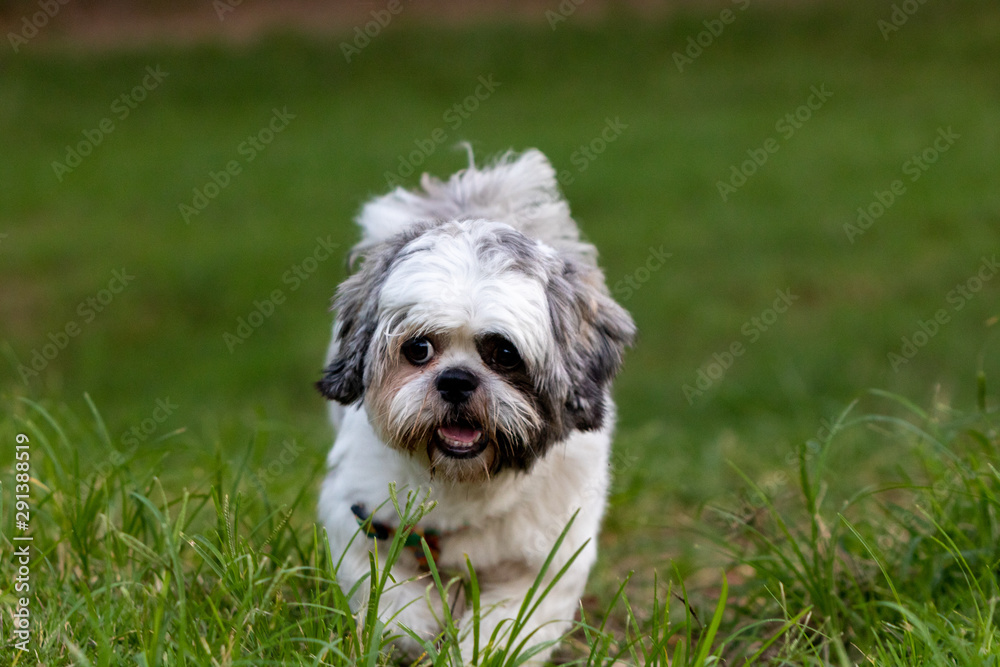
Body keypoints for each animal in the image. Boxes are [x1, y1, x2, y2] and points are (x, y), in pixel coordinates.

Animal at [316, 149, 636, 664]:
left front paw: (476, 649)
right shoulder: (359, 516)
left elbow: (512, 624)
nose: (456, 380)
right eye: (418, 349)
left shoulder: (547, 559)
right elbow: (387, 593)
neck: (465, 484)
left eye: (504, 354)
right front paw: (417, 628)